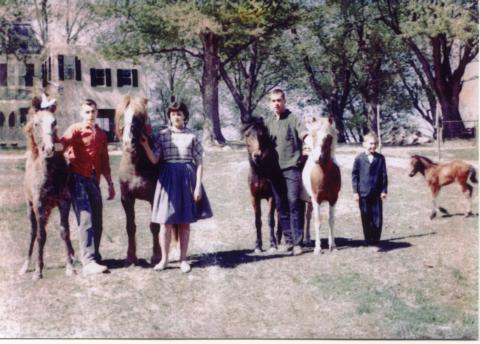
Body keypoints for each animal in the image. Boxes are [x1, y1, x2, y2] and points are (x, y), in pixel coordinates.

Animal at [18, 107, 75, 280]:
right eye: (37, 123)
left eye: (54, 122)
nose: (49, 149)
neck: (50, 175)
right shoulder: (38, 205)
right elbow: (40, 236)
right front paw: (38, 271)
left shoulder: (64, 202)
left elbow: (65, 232)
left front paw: (70, 267)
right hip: (30, 208)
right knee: (33, 232)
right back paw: (25, 266)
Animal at [115, 95, 162, 264]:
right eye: (122, 115)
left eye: (139, 116)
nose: (128, 143)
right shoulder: (126, 198)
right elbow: (130, 226)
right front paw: (131, 256)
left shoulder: (154, 198)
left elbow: (154, 226)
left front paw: (157, 256)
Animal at [244, 117, 282, 253]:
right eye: (247, 135)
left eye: (261, 135)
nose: (257, 155)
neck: (261, 173)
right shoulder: (254, 198)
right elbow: (257, 221)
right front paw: (258, 246)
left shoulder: (272, 197)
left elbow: (270, 219)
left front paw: (272, 244)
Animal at [300, 117, 342, 254]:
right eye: (313, 135)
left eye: (328, 137)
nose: (318, 158)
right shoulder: (316, 199)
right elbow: (317, 221)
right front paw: (318, 248)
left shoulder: (333, 199)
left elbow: (331, 220)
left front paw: (332, 246)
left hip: (309, 201)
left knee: (307, 217)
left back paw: (307, 239)